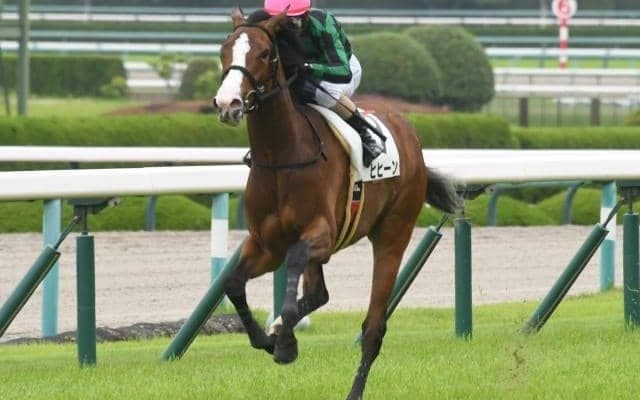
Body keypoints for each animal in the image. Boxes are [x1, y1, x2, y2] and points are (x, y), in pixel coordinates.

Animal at [213, 8, 460, 400]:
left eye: (265, 53)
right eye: (224, 51)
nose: (228, 104)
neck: (282, 155)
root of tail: (408, 131)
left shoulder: (321, 235)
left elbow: (294, 266)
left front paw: (285, 342)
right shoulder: (266, 243)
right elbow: (234, 285)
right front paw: (270, 339)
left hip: (393, 234)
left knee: (373, 327)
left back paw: (353, 386)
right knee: (318, 293)